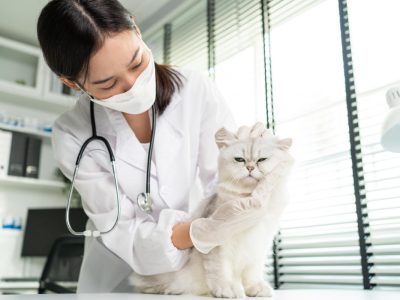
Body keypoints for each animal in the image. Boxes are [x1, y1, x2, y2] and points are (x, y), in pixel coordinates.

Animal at [131, 124, 294, 298]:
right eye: (240, 160)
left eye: (262, 160)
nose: (250, 167)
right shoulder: (218, 247)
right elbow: (221, 271)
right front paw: (228, 290)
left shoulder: (258, 246)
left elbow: (252, 273)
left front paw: (256, 288)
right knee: (142, 284)